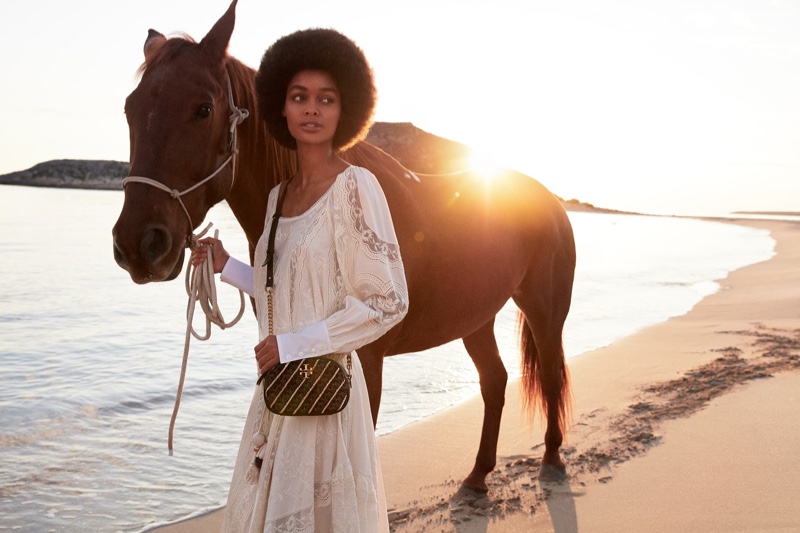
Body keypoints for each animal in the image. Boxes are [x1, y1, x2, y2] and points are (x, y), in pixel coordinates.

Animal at [112, 0, 576, 490]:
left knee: (549, 374)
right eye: (129, 108)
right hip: (476, 317)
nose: (138, 244)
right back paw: (478, 474)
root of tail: (551, 201)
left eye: (202, 108)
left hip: (544, 312)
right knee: (494, 380)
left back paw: (552, 457)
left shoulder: (366, 361)